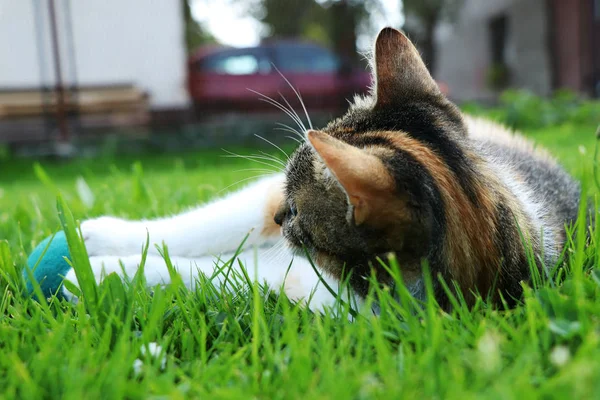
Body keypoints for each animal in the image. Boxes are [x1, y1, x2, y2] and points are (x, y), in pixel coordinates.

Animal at [71, 28, 580, 312]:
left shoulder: (309, 291)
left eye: (299, 211)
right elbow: (204, 226)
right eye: (287, 202)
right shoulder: (260, 201)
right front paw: (98, 241)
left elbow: (214, 275)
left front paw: (99, 272)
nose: (280, 217)